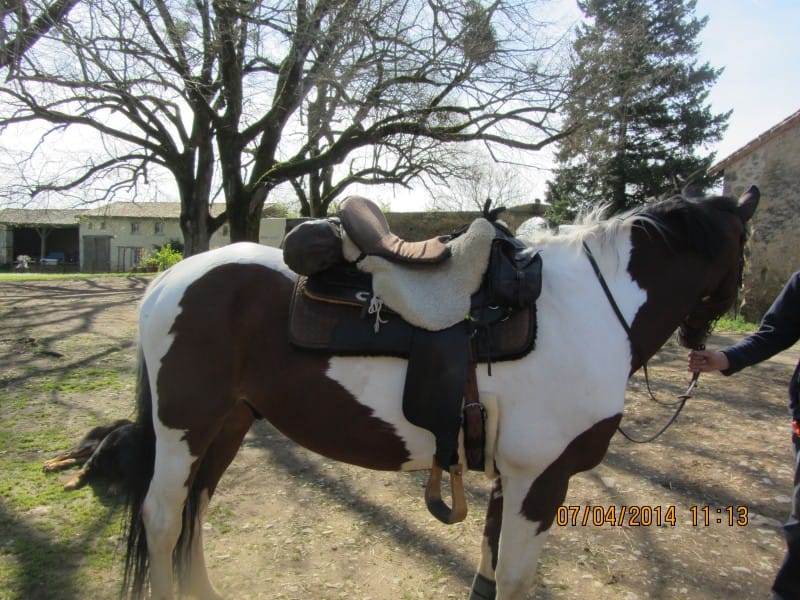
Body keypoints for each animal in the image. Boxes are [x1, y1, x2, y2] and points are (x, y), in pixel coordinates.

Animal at [122, 185, 760, 596]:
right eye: (746, 250)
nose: (707, 338)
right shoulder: (541, 479)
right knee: (163, 518)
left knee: (195, 510)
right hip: (184, 429)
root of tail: (168, 279)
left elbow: (491, 561)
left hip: (228, 424)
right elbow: (514, 577)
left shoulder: (512, 476)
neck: (589, 307)